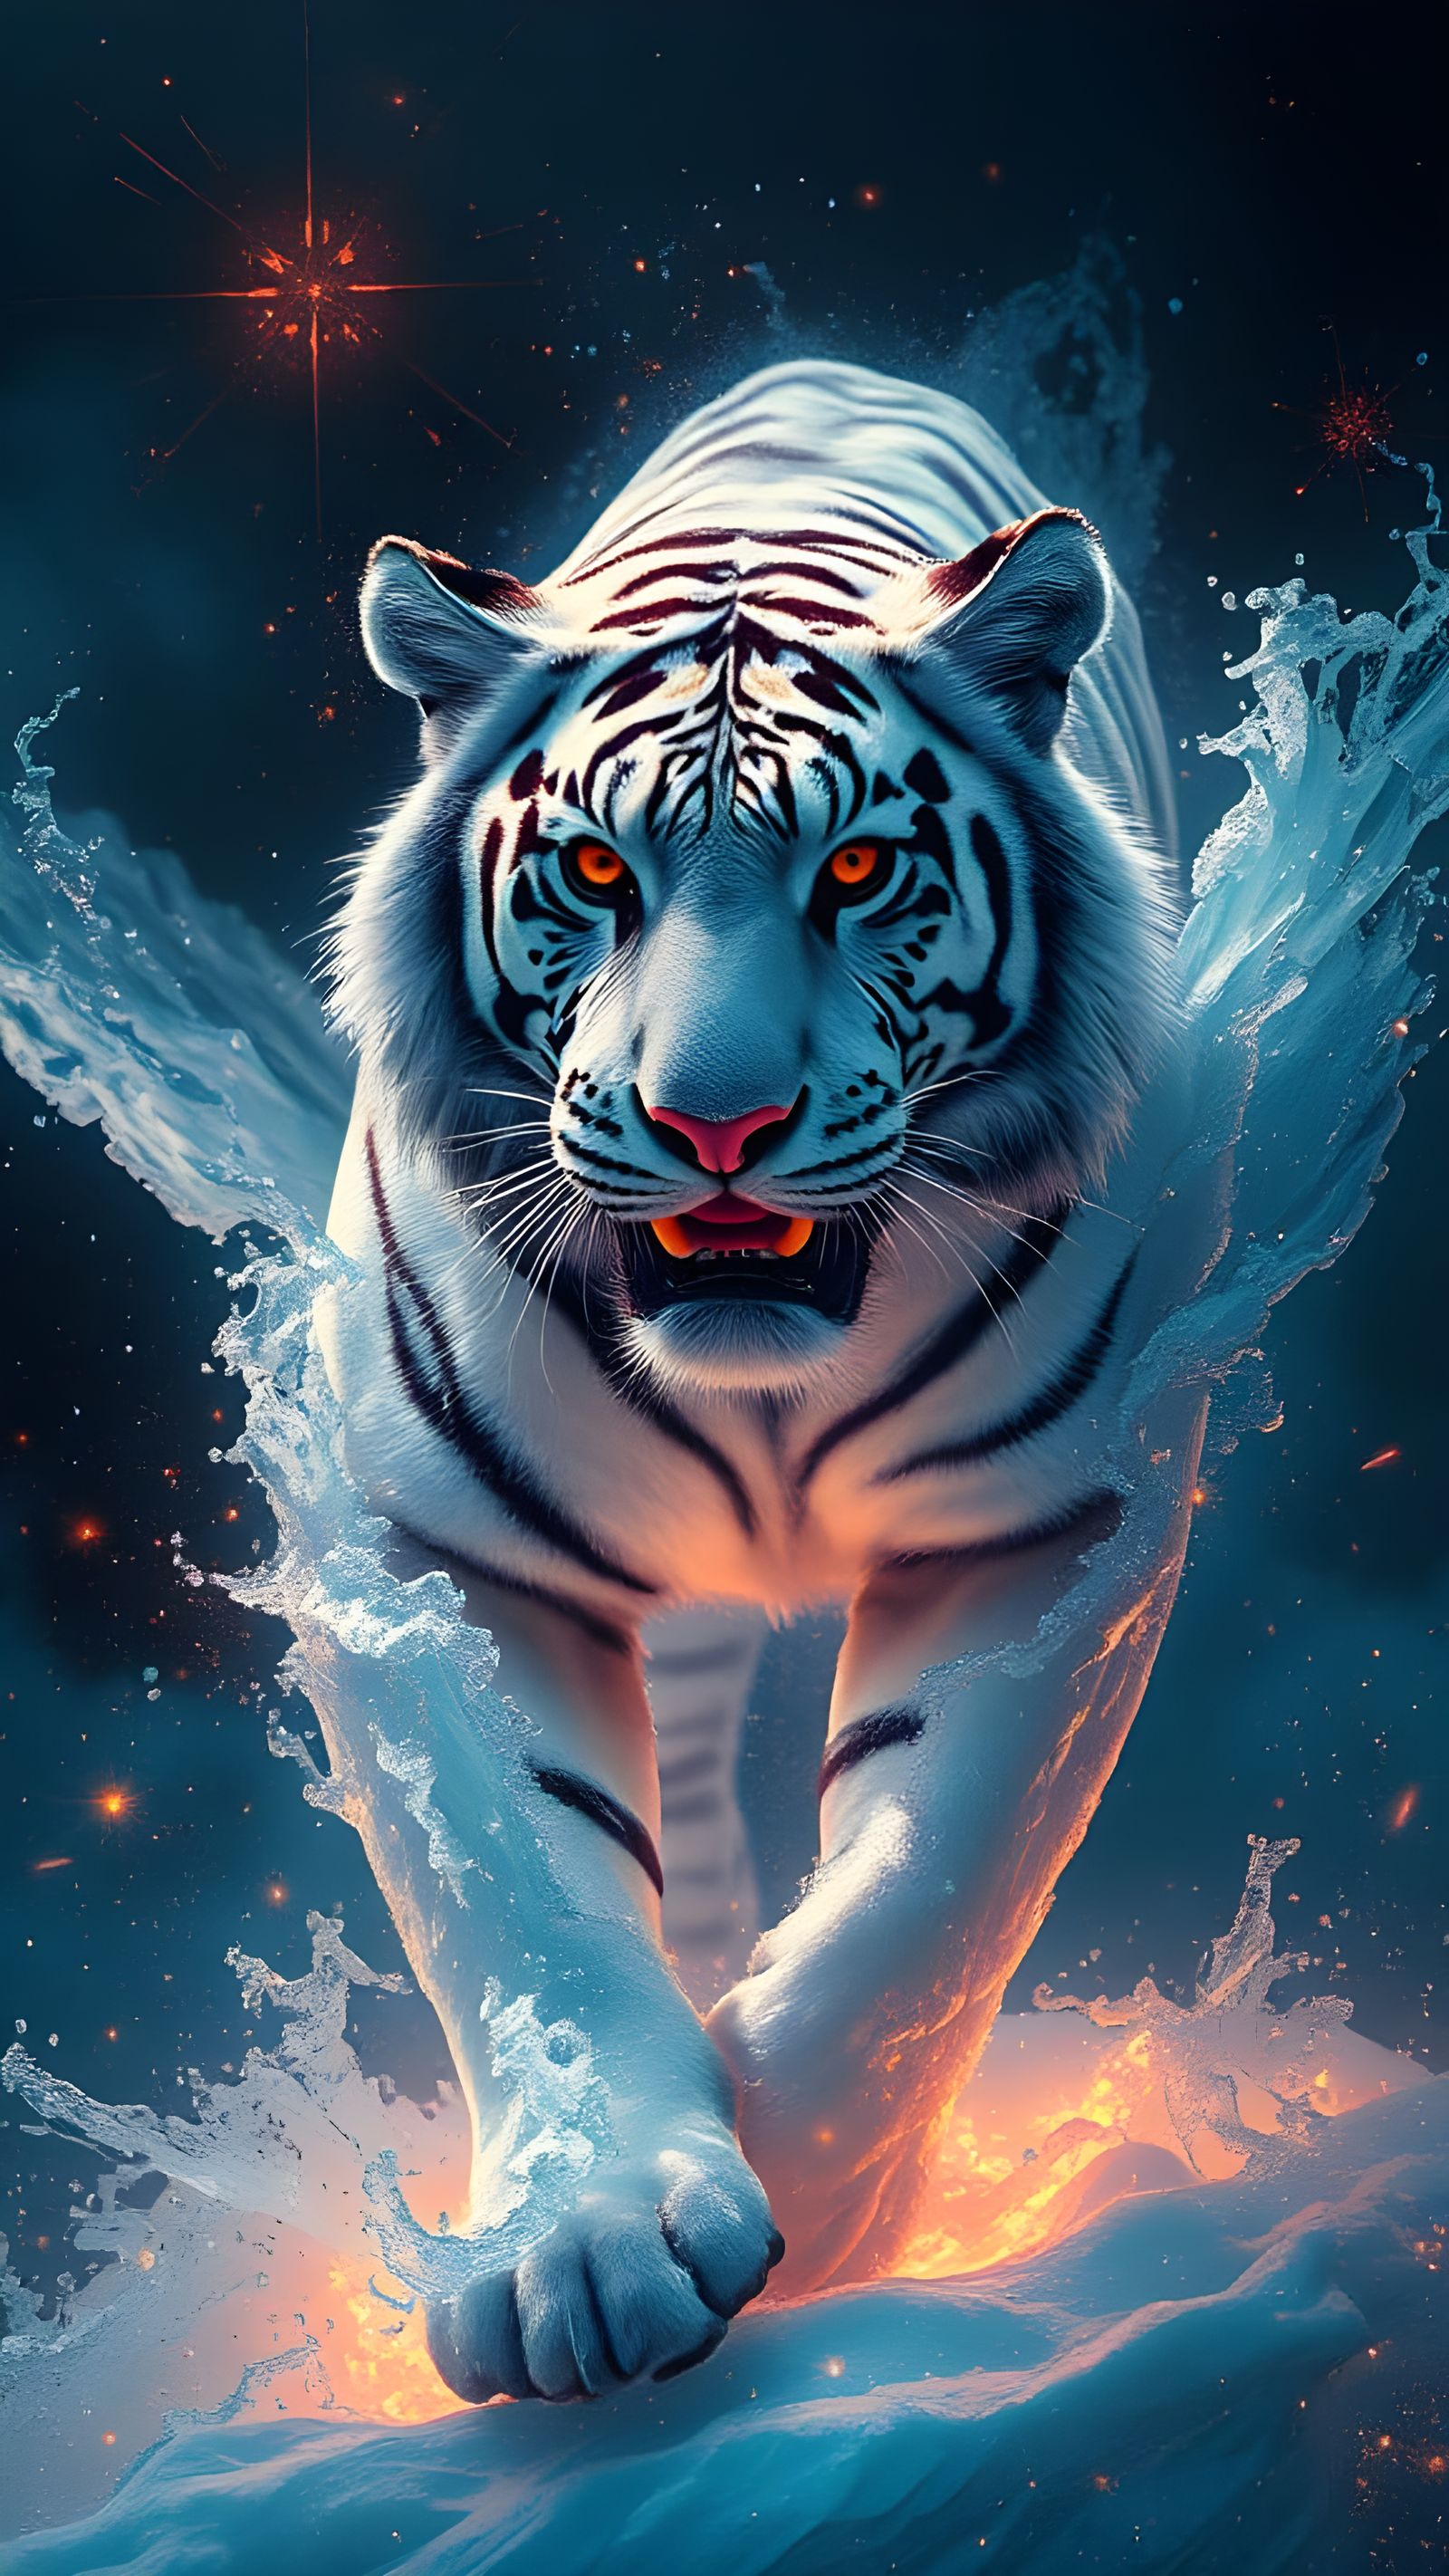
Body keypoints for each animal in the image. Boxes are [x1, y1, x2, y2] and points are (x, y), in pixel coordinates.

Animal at [321, 358, 1199, 2406]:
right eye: (592, 870)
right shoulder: (435, 1547)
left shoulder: (1053, 1523)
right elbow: (527, 1894)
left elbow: (943, 1867)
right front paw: (584, 2249)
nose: (714, 1124)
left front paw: (820, 2199)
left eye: (859, 867)